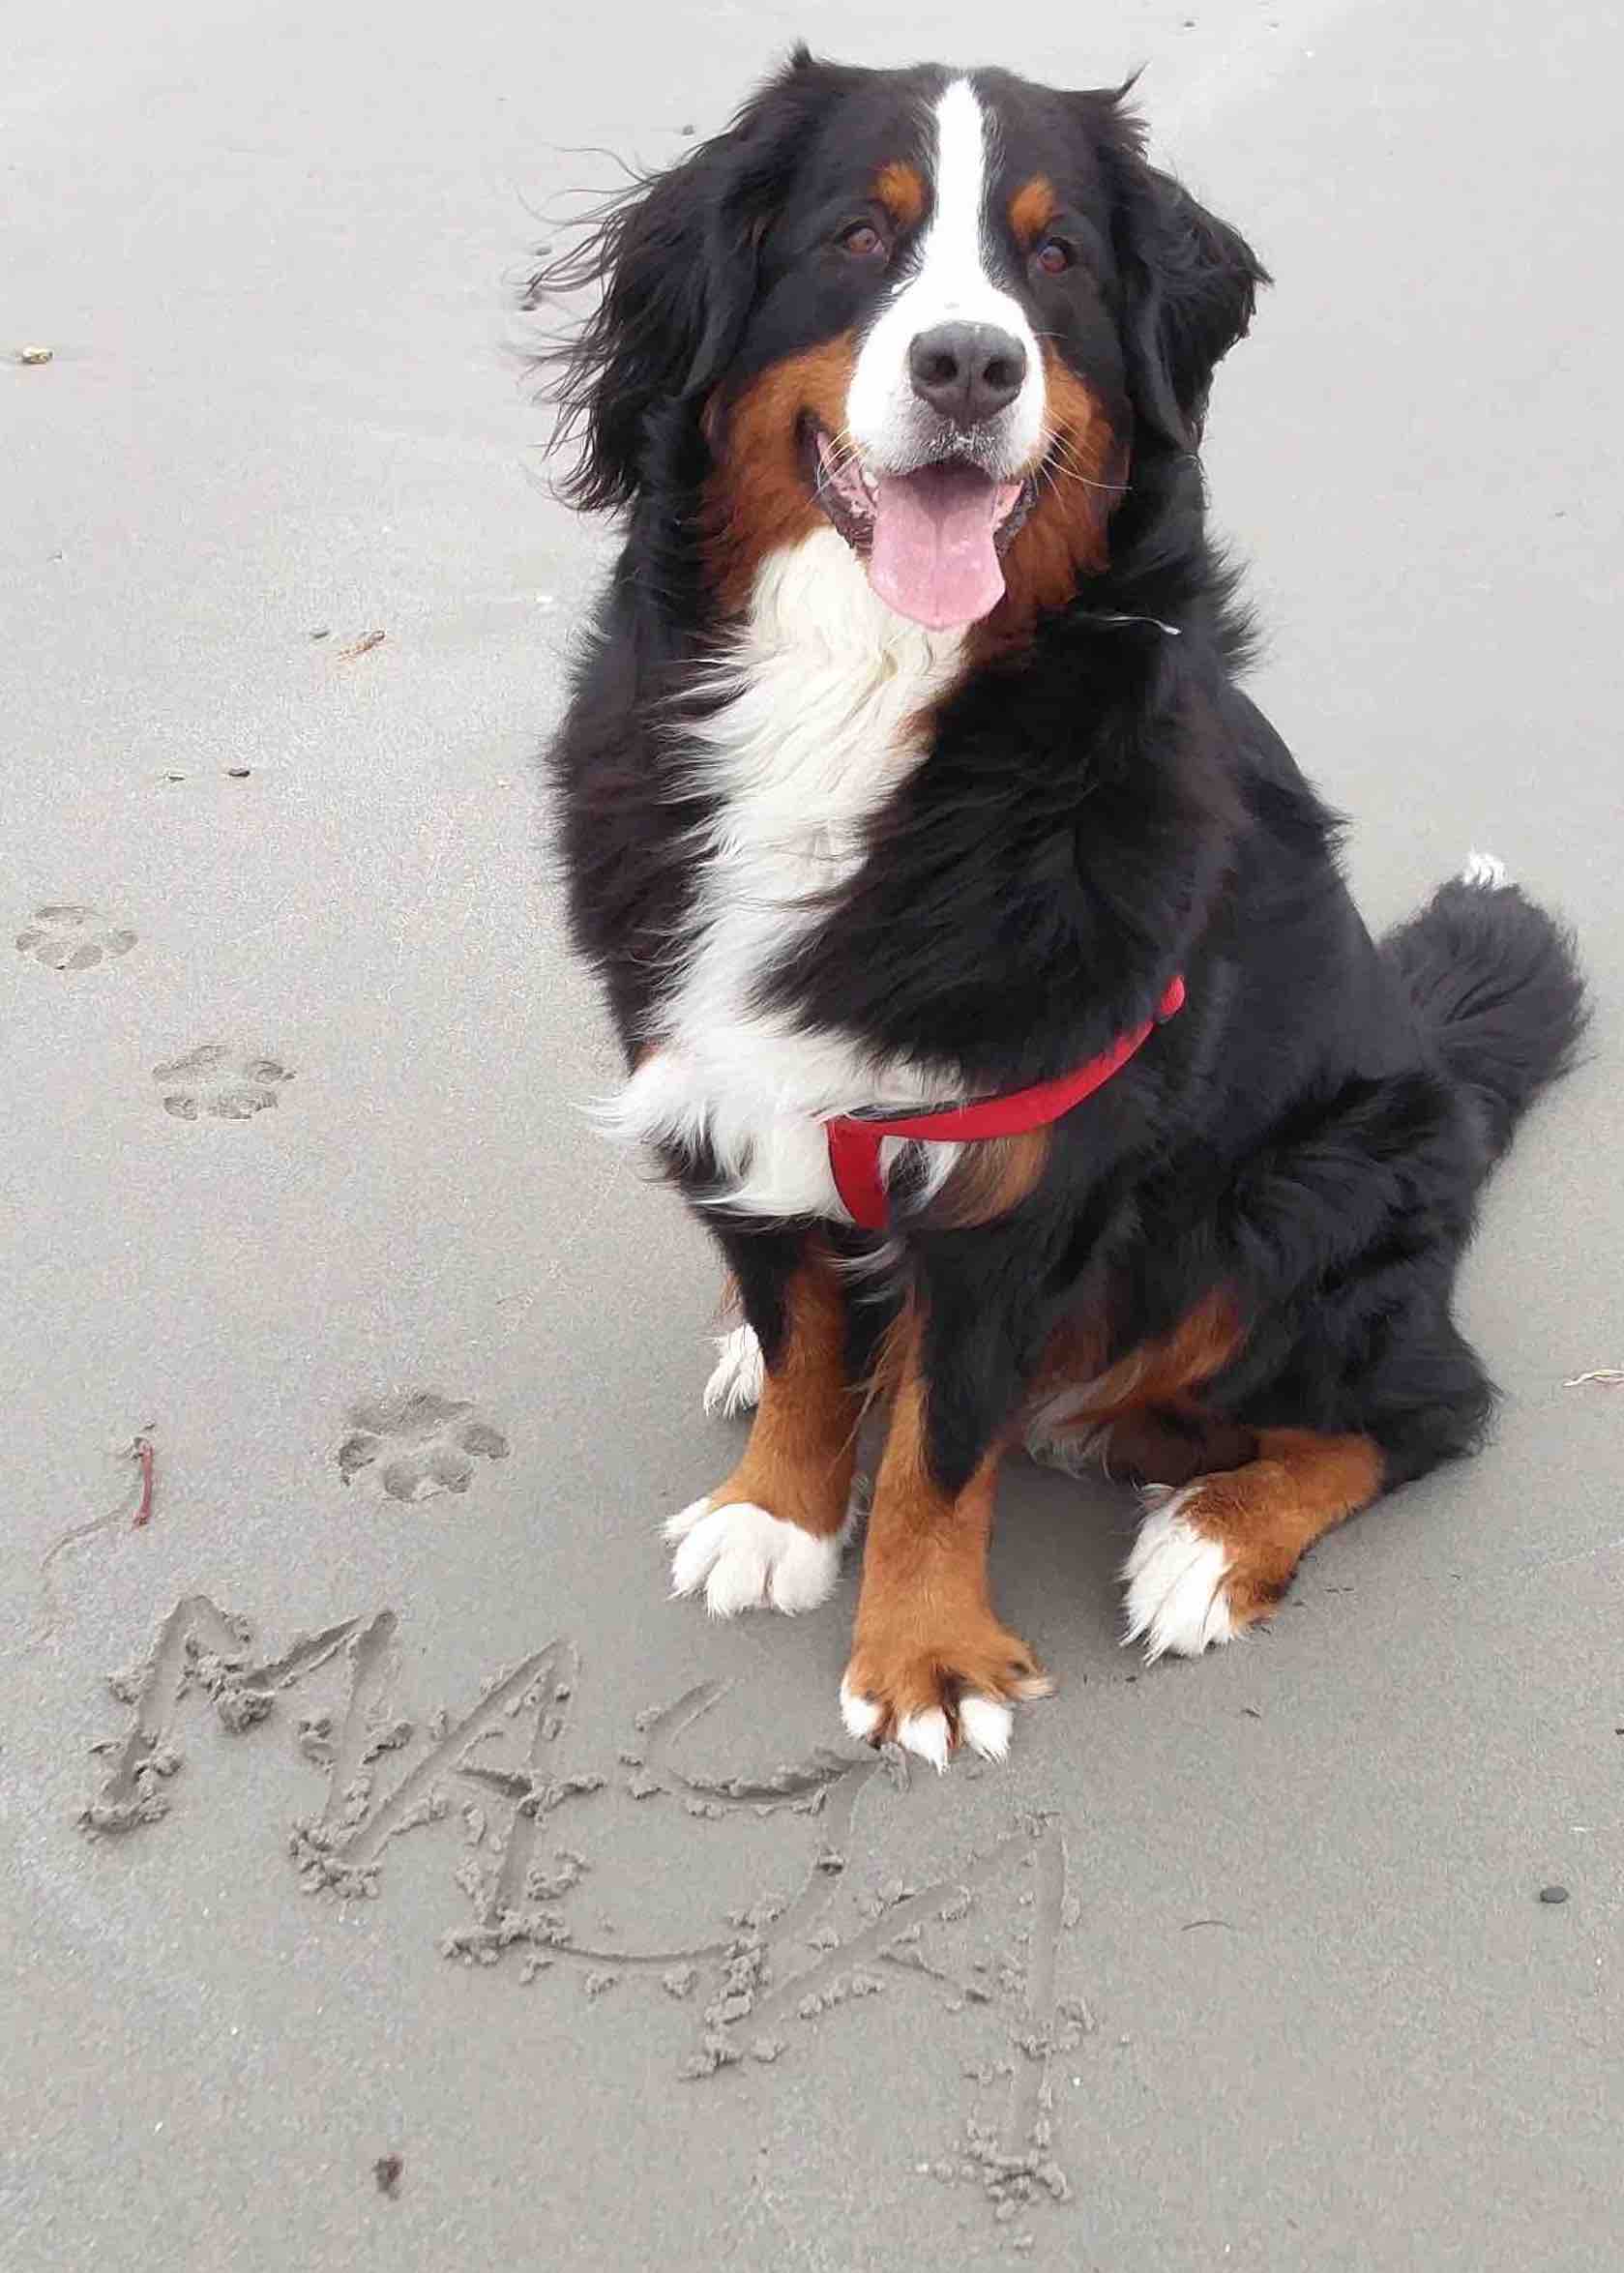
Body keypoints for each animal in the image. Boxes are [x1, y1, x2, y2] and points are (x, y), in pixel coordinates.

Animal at [527, 44, 1582, 1763]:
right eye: (855, 236)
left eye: (1058, 258)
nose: (967, 362)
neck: (863, 693)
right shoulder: (722, 1076)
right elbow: (806, 1330)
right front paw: (776, 1507)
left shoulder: (1021, 1159)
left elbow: (944, 1443)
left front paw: (923, 1656)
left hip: (1296, 1190)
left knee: (1417, 1405)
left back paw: (1209, 1537)